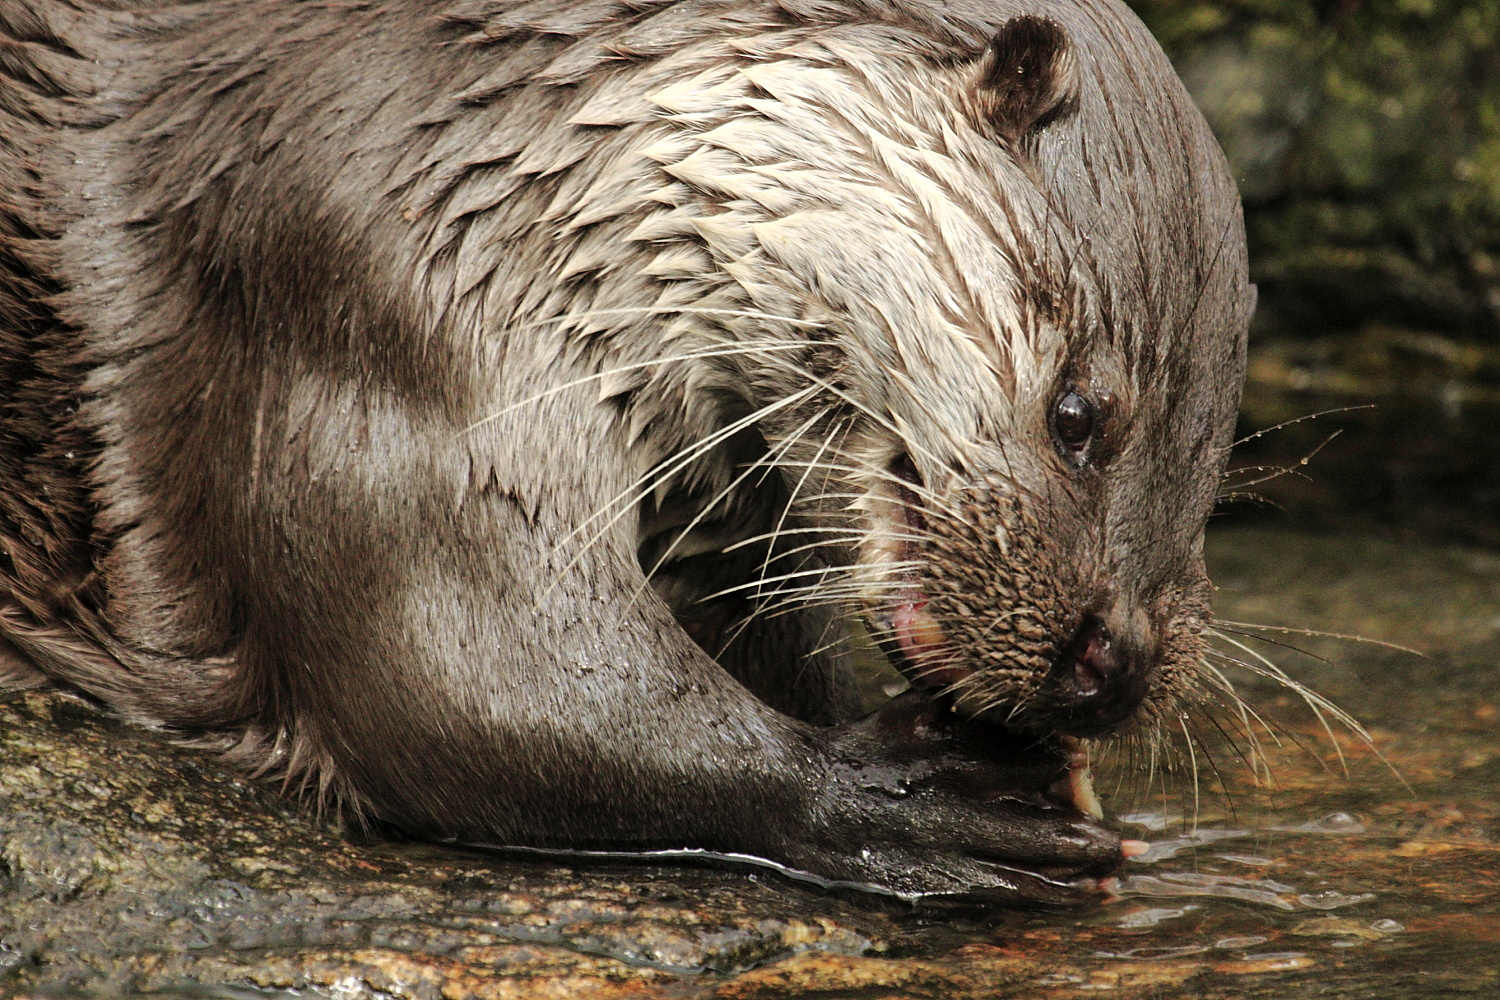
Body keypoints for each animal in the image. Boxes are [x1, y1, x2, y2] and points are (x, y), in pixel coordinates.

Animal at [0, 0, 1254, 905]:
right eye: (1078, 414)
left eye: (1215, 453)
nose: (1117, 661)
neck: (524, 141)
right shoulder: (376, 276)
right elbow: (459, 674)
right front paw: (899, 791)